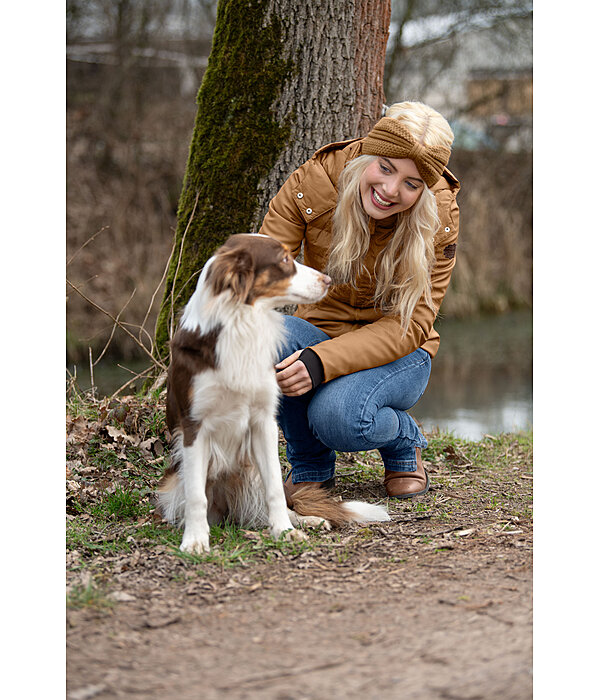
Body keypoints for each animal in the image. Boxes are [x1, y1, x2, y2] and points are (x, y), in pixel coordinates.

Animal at [157, 234, 392, 552]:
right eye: (283, 260)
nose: (328, 280)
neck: (243, 323)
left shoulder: (263, 421)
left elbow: (275, 491)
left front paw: (284, 531)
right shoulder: (194, 427)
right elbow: (196, 496)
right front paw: (195, 541)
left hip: (250, 471)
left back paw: (306, 520)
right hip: (174, 481)